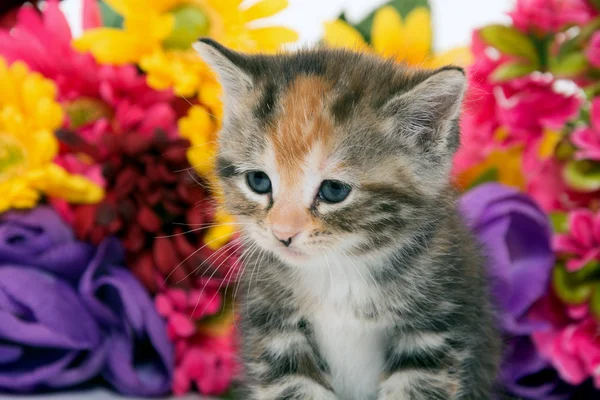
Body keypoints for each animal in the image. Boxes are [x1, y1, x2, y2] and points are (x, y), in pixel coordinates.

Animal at [195, 38, 500, 400]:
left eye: (334, 190)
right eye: (258, 181)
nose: (282, 233)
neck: (340, 273)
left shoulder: (434, 329)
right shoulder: (275, 332)